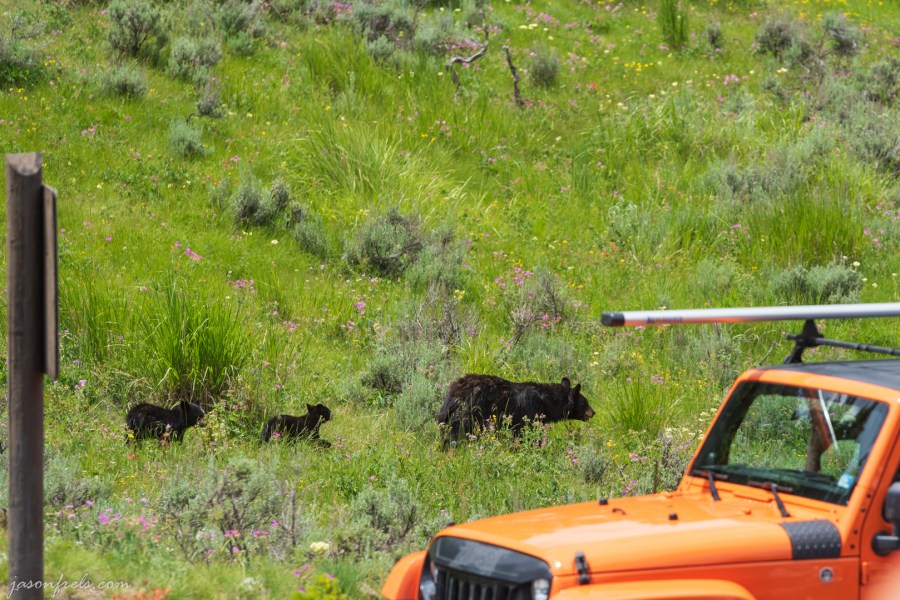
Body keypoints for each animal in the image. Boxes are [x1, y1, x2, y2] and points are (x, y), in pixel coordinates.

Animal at [437, 374, 594, 443]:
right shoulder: (530, 411)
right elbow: (526, 433)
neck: (547, 402)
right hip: (469, 412)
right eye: (585, 402)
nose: (593, 412)